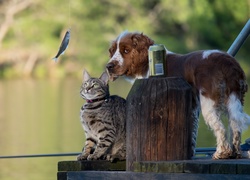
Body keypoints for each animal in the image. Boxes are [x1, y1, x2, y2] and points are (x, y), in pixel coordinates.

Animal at [106, 30, 250, 159]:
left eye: (126, 50)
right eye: (113, 51)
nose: (109, 66)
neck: (147, 64)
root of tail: (228, 63)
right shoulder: (192, 106)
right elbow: (192, 131)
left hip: (209, 103)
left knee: (220, 128)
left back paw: (221, 153)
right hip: (234, 97)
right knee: (235, 125)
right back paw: (236, 152)